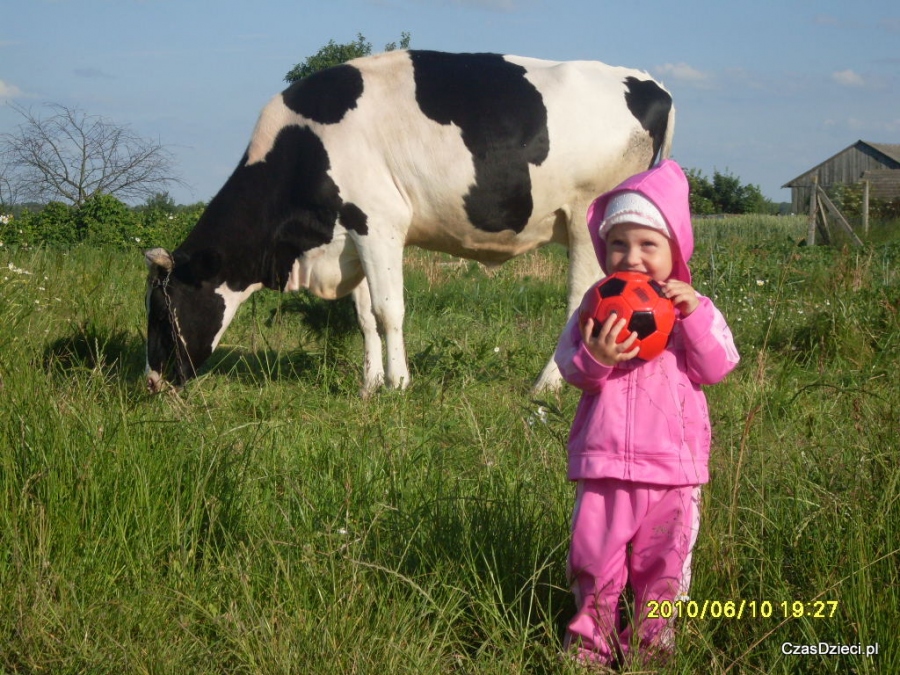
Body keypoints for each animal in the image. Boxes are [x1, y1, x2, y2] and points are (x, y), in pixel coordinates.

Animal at [144, 50, 672, 396]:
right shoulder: (352, 234)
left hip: (588, 218)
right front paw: (369, 384)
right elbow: (363, 316)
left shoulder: (380, 219)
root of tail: (648, 80)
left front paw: (398, 384)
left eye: (162, 308)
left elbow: (388, 310)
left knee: (583, 302)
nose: (150, 382)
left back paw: (547, 386)